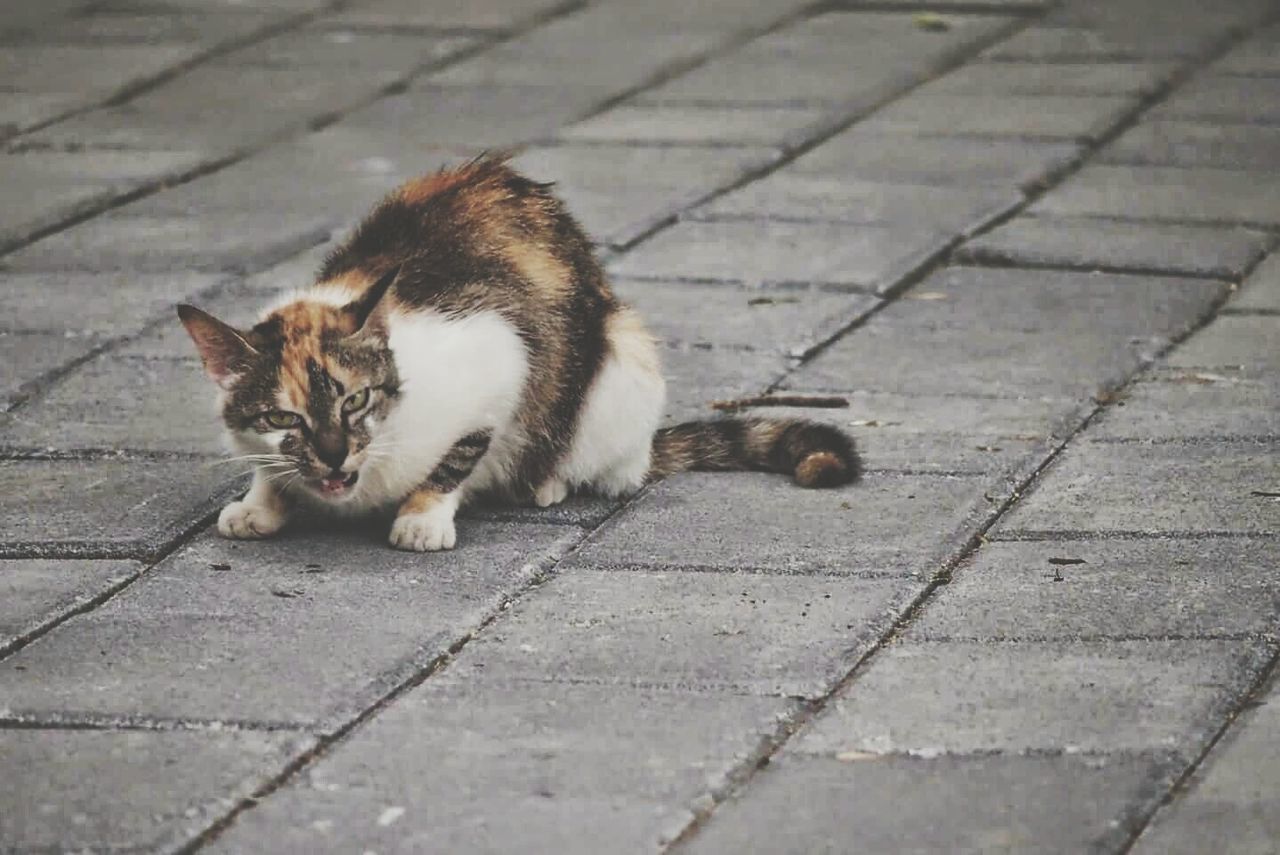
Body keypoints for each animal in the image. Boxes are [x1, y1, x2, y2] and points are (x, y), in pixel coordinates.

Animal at [180, 154, 860, 550]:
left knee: (607, 463)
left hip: (623, 361)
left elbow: (462, 451)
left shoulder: (500, 357)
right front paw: (259, 502)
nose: (333, 455)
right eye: (282, 416)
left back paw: (547, 482)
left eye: (357, 401)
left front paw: (423, 516)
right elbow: (268, 467)